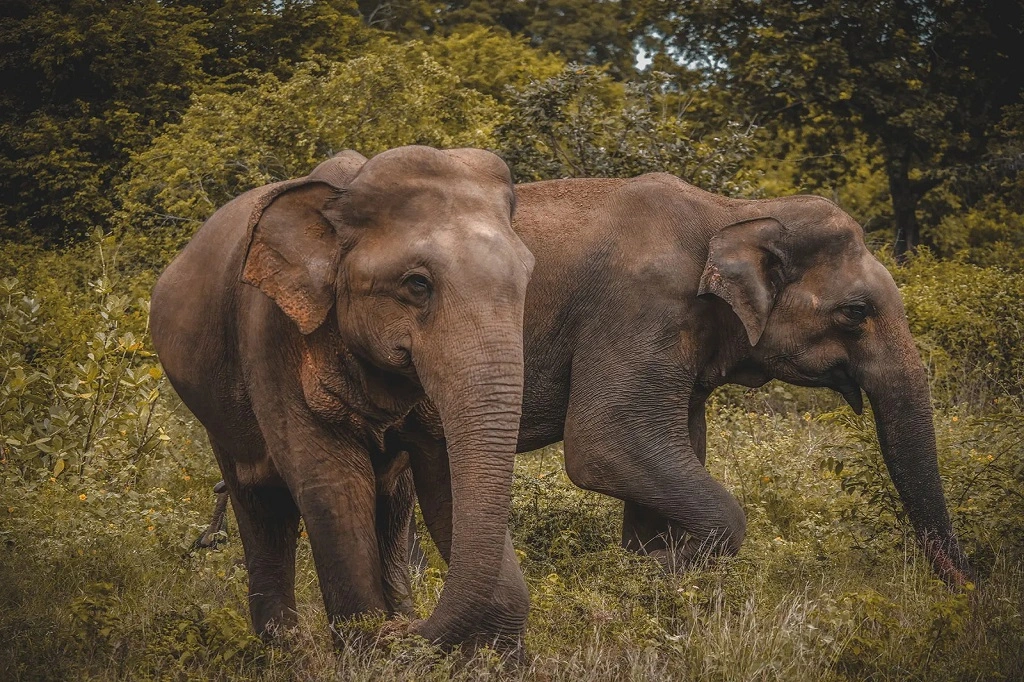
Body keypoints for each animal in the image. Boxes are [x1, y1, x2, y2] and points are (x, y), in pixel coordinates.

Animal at [153, 146, 536, 647]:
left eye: (527, 278)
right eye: (417, 284)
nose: (404, 630)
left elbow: (446, 478)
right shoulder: (270, 334)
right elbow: (331, 483)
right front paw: (370, 641)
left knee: (392, 504)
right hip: (218, 415)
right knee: (260, 507)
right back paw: (285, 651)